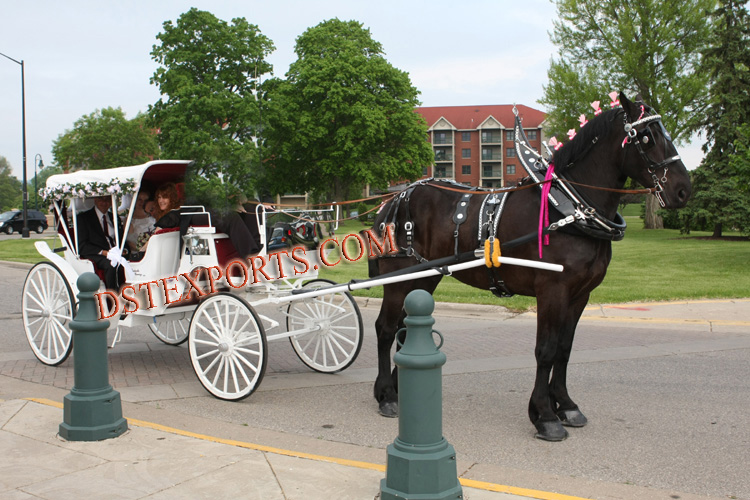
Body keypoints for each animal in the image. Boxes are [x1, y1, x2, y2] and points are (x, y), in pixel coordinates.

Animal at [370, 92, 692, 440]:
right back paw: (386, 395)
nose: (683, 190)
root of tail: (394, 199)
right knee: (385, 328)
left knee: (404, 330)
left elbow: (564, 348)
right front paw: (545, 415)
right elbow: (546, 349)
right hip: (399, 278)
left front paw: (566, 405)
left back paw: (399, 388)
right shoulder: (552, 289)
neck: (566, 209)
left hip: (424, 277)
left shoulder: (580, 295)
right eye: (646, 137)